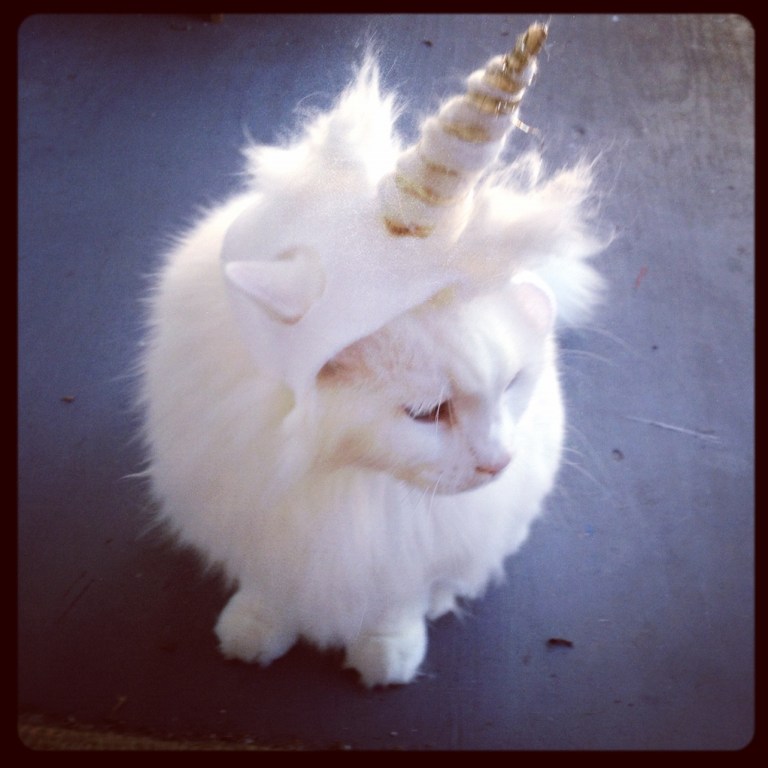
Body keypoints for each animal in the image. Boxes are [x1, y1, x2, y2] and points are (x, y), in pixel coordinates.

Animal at [139, 37, 605, 687]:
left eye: (513, 383)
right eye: (427, 414)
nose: (497, 463)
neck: (345, 485)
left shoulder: (407, 554)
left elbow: (397, 602)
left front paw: (386, 655)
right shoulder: (260, 519)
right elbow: (269, 590)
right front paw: (253, 633)